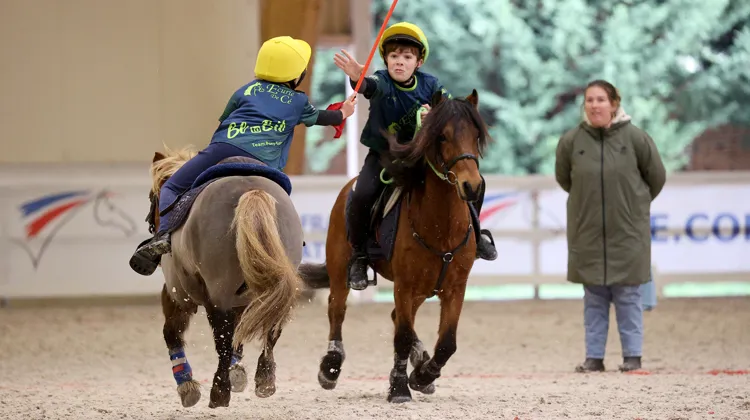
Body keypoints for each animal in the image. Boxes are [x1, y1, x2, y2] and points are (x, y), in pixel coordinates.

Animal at [144, 146, 304, 408]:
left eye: (152, 197)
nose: (153, 223)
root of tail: (251, 190)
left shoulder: (177, 295)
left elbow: (171, 333)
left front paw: (187, 386)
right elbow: (242, 330)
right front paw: (237, 371)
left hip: (218, 294)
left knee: (223, 338)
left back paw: (219, 391)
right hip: (278, 285)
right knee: (271, 328)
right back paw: (265, 379)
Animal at [299, 89, 491, 403]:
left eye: (476, 135)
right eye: (442, 137)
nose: (471, 185)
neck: (441, 227)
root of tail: (347, 188)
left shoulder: (455, 287)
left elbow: (447, 343)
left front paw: (423, 375)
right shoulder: (404, 285)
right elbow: (401, 336)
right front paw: (400, 387)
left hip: (424, 287)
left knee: (397, 318)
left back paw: (420, 360)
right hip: (341, 270)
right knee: (337, 310)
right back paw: (330, 367)